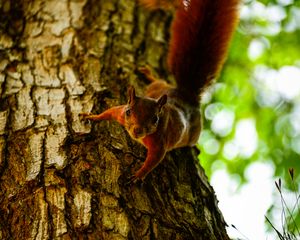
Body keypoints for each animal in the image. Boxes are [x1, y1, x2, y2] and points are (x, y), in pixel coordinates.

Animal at [79, 0, 239, 182]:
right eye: (128, 112)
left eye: (155, 119)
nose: (137, 131)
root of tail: (186, 94)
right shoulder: (119, 113)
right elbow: (108, 112)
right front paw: (92, 117)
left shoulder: (159, 143)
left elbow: (153, 161)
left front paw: (138, 175)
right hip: (159, 87)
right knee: (158, 81)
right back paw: (148, 74)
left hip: (195, 131)